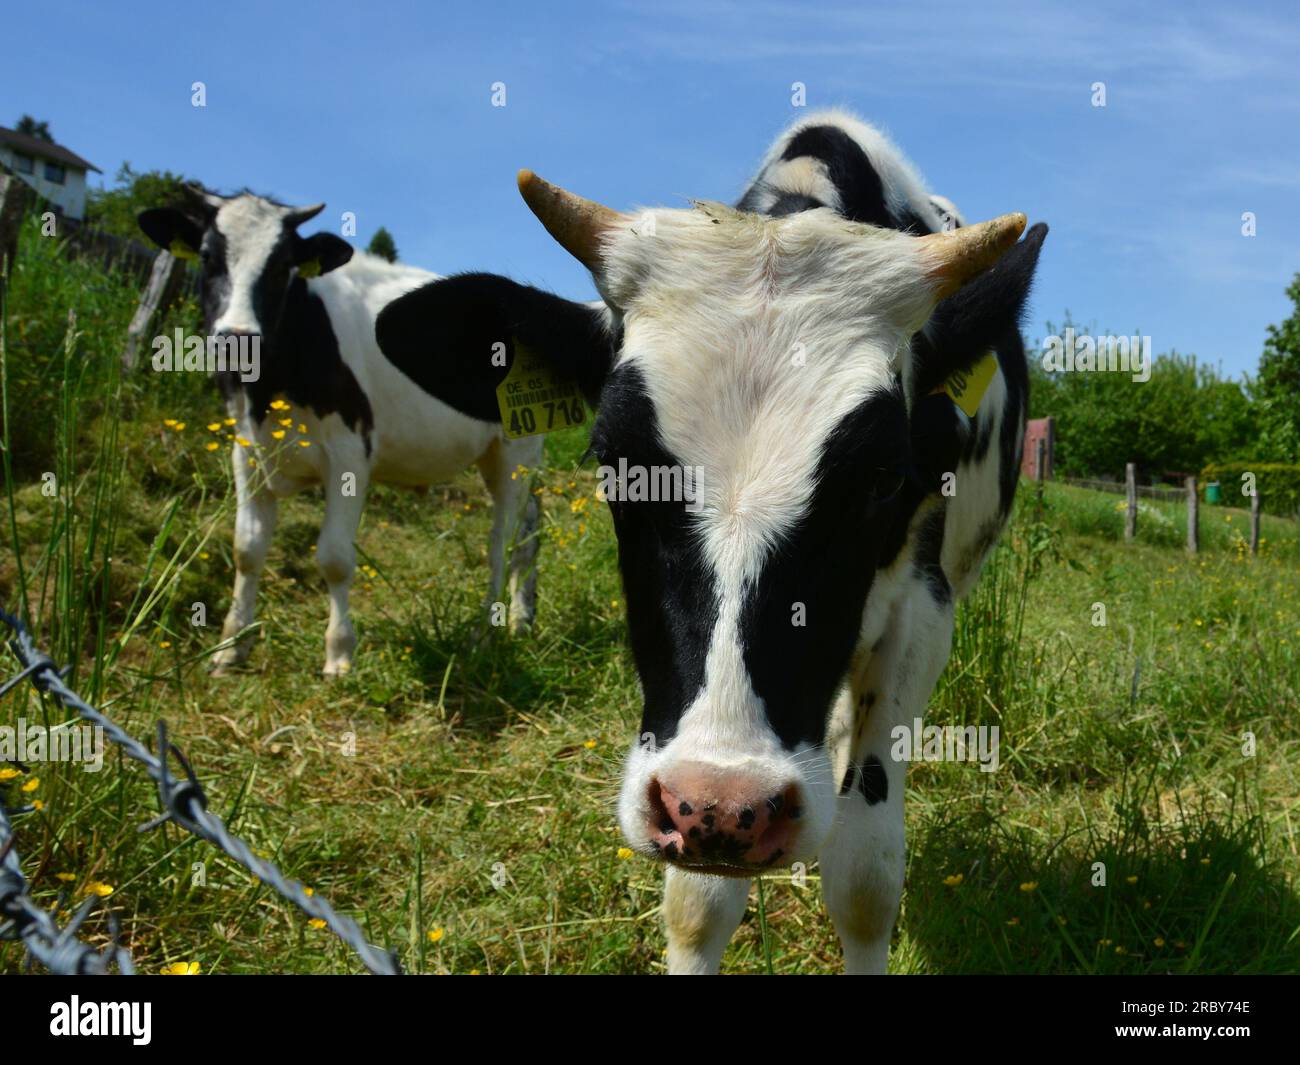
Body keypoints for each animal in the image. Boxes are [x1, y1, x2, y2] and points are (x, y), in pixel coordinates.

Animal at [137, 186, 547, 676]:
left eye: (283, 264)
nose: (237, 337)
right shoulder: (247, 451)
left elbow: (333, 557)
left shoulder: (350, 453)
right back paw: (521, 620)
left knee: (503, 541)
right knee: (529, 531)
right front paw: (230, 647)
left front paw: (339, 653)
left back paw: (484, 635)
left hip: (518, 446)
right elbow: (246, 549)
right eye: (206, 255)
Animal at [375, 112, 1048, 973]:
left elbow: (865, 876)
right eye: (614, 461)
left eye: (883, 476)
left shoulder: (922, 611)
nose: (729, 806)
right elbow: (697, 902)